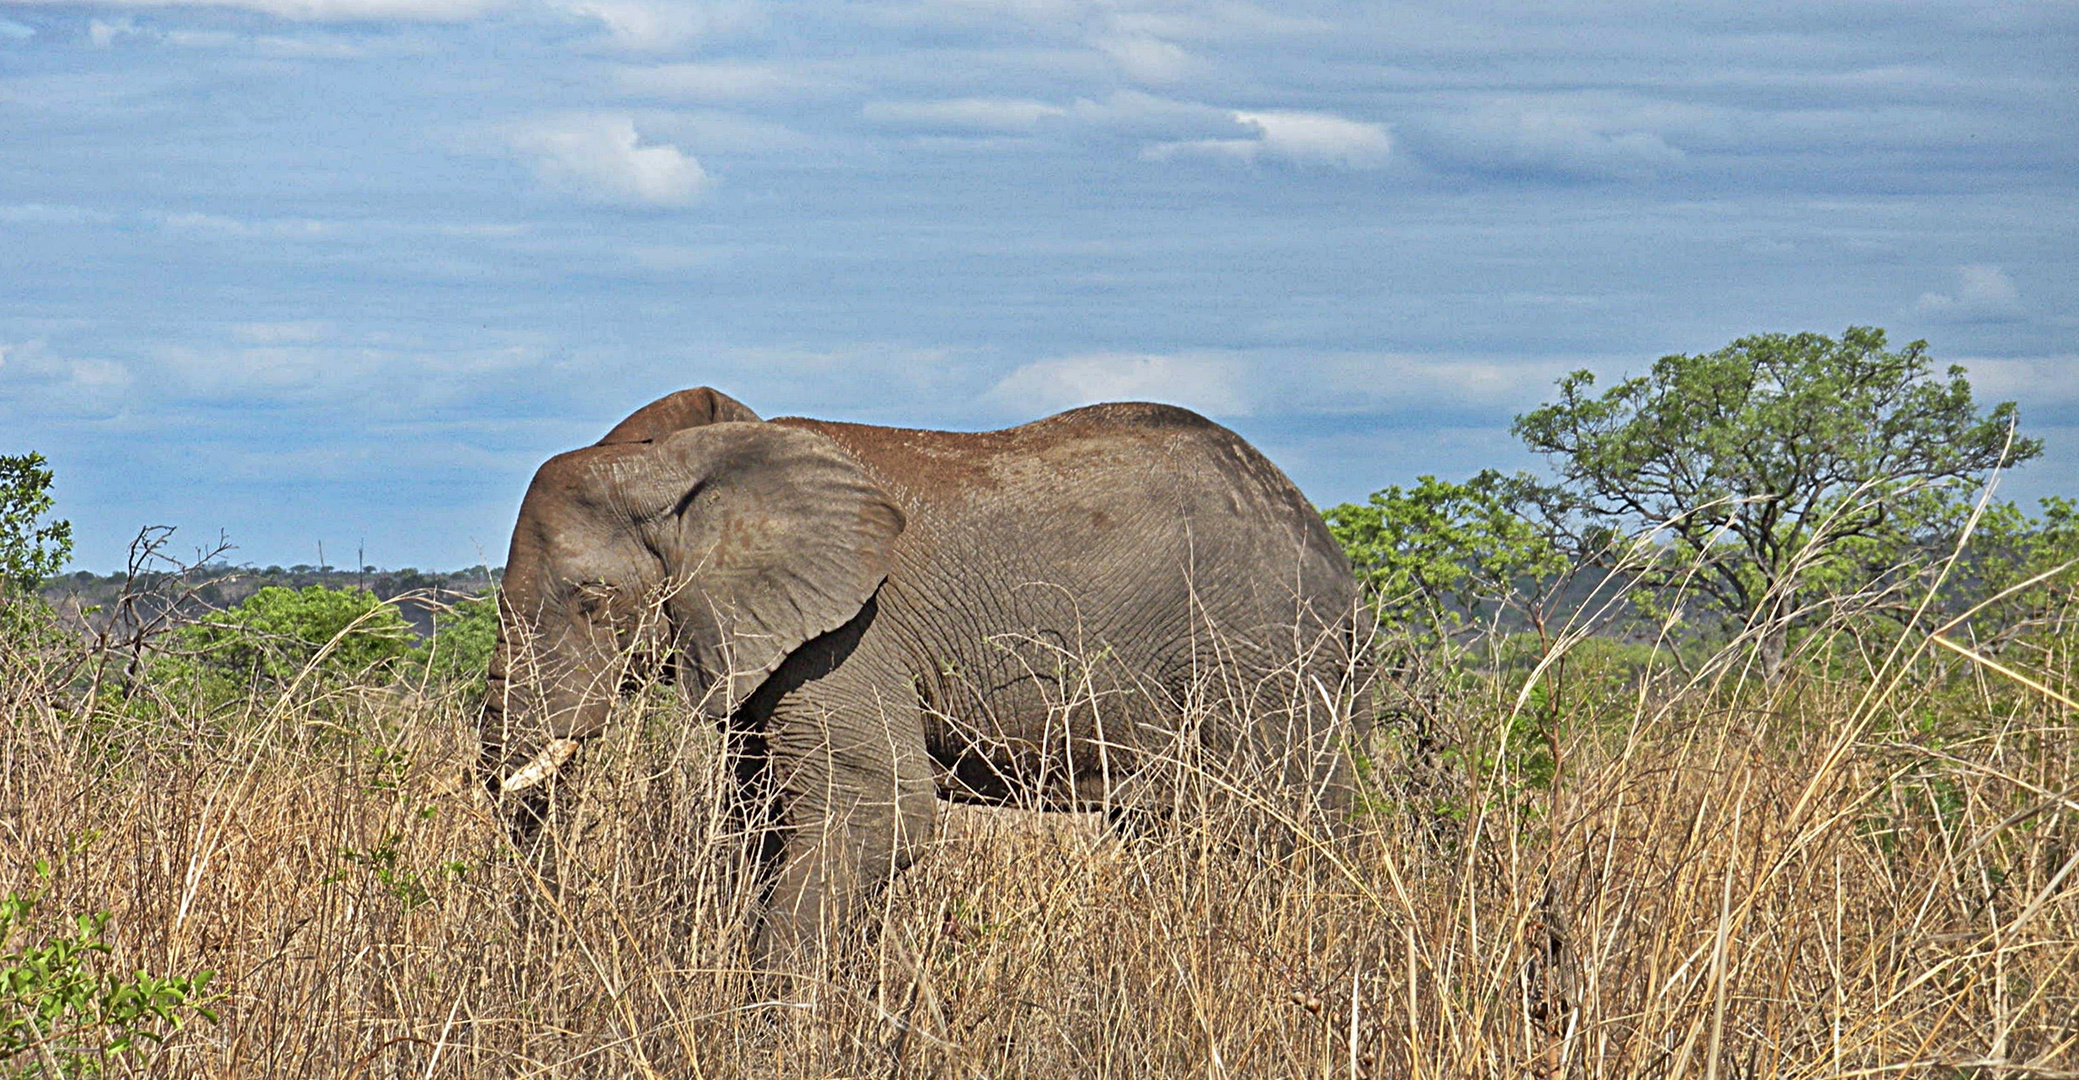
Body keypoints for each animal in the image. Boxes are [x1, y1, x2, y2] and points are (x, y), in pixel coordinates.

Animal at [478, 389, 1372, 965]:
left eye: (593, 601)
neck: (686, 464)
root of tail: (1328, 550)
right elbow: (756, 819)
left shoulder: (850, 630)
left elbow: (877, 809)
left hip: (1264, 653)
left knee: (1287, 823)